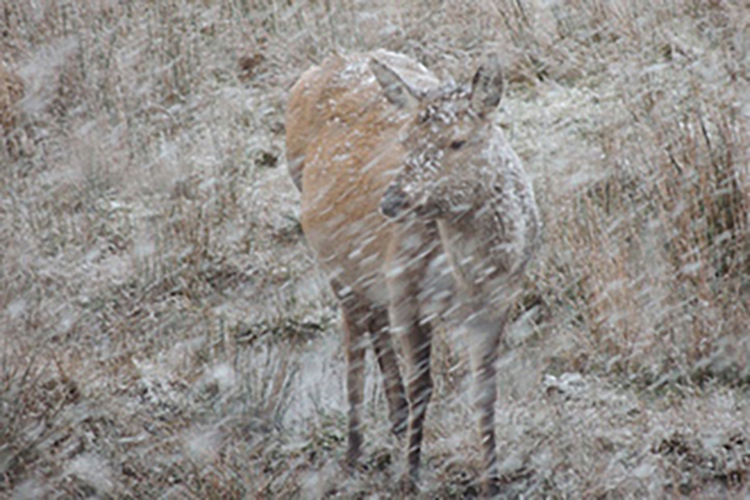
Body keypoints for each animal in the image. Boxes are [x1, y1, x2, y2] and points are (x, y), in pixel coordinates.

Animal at [286, 50, 540, 496]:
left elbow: (485, 390)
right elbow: (423, 386)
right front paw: (409, 476)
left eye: (458, 141)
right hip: (336, 261)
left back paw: (396, 417)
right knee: (354, 341)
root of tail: (321, 65)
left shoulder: (499, 300)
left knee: (373, 321)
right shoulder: (407, 290)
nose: (391, 202)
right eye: (405, 141)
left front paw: (491, 481)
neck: (472, 275)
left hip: (372, 273)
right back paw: (355, 449)